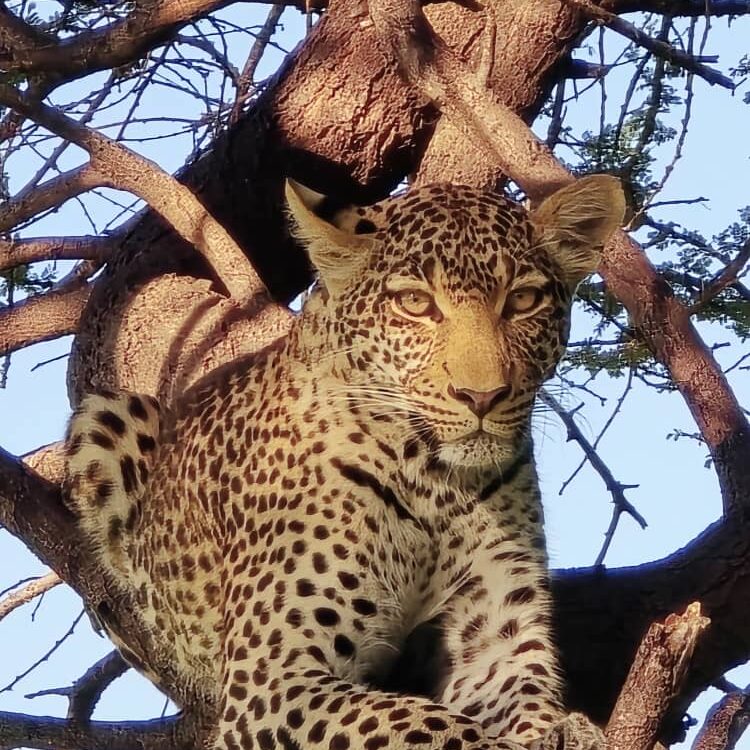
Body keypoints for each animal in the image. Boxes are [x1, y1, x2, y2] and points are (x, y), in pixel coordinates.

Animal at [65, 175, 625, 750]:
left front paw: (565, 728)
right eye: (415, 303)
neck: (432, 477)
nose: (482, 397)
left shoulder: (494, 638)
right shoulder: (274, 677)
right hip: (106, 423)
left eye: (523, 300)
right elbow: (422, 722)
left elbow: (522, 698)